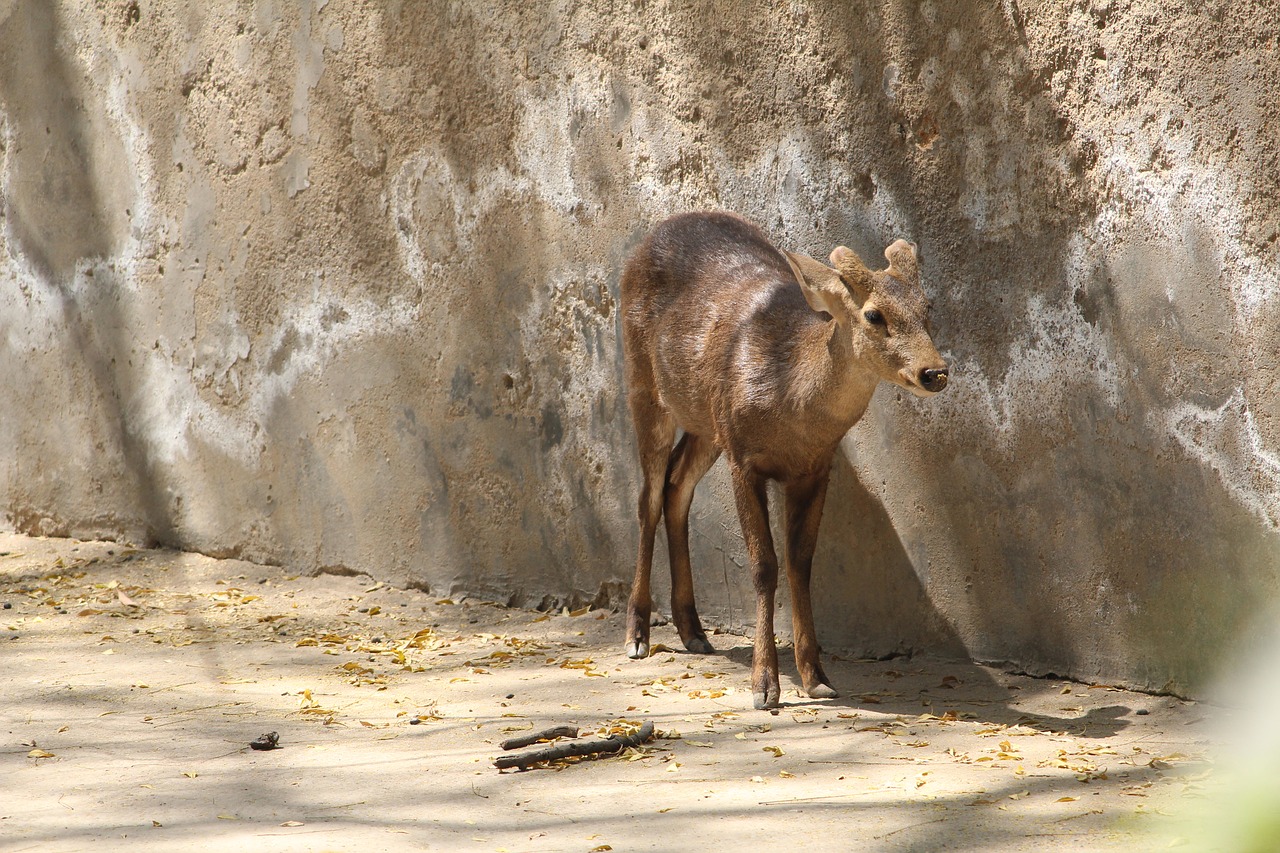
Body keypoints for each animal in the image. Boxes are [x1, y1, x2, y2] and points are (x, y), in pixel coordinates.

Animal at [619, 208, 952, 706]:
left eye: (927, 308)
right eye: (874, 314)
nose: (935, 371)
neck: (789, 405)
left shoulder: (815, 469)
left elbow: (801, 562)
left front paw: (817, 676)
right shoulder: (744, 460)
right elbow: (763, 566)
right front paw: (765, 686)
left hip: (707, 421)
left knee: (677, 486)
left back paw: (694, 631)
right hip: (644, 382)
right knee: (648, 497)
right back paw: (637, 634)